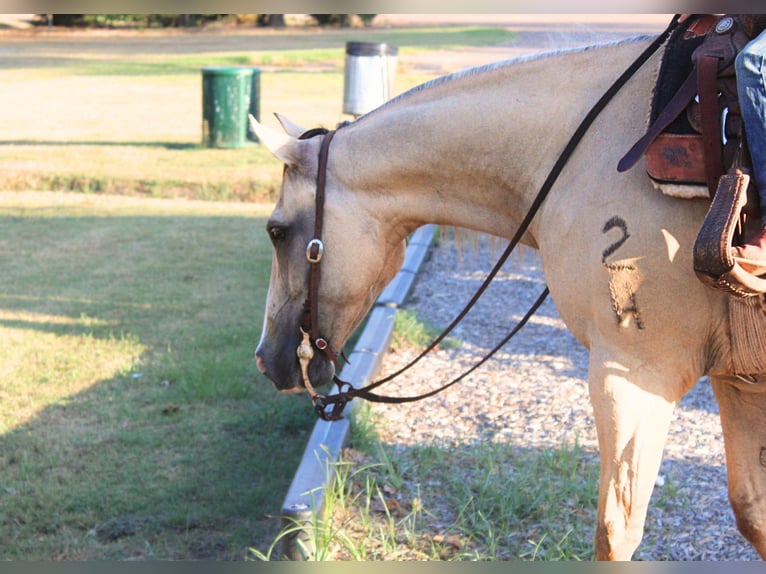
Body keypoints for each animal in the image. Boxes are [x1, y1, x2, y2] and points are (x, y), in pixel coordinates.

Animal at [251, 33, 766, 560]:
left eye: (277, 231)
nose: (267, 358)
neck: (588, 153)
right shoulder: (739, 377)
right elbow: (753, 513)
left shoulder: (636, 371)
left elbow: (614, 531)